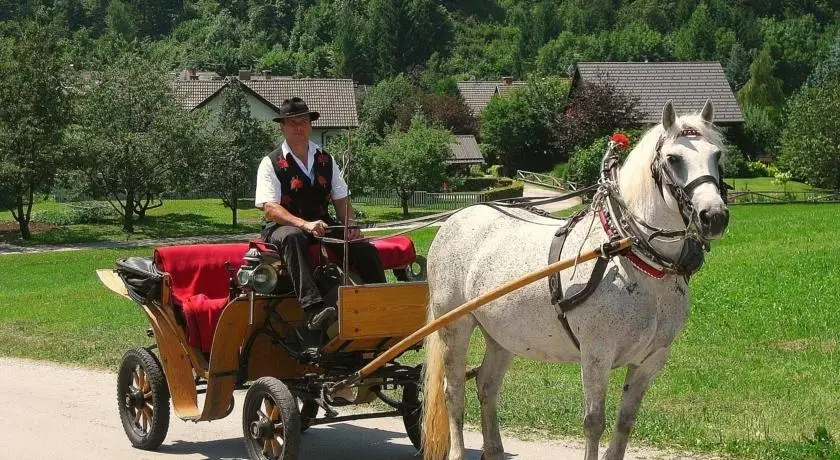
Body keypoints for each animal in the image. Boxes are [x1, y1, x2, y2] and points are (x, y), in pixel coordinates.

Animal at [420, 100, 728, 460]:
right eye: (674, 159)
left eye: (717, 155)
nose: (714, 216)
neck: (633, 258)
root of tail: (456, 218)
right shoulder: (596, 353)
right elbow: (594, 422)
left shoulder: (650, 361)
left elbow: (625, 422)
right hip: (454, 326)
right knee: (454, 392)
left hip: (502, 335)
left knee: (487, 386)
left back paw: (493, 449)